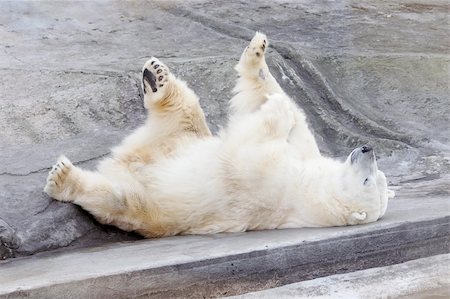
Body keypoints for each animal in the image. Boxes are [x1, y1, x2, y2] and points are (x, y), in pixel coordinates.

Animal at [42, 32, 394, 238]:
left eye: (368, 181)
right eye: (378, 178)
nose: (367, 148)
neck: (314, 189)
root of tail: (129, 161)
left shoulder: (272, 178)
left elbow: (251, 139)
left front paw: (277, 107)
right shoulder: (304, 157)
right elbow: (291, 118)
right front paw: (258, 54)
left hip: (152, 206)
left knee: (116, 198)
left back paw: (63, 177)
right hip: (180, 139)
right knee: (185, 111)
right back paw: (156, 75)